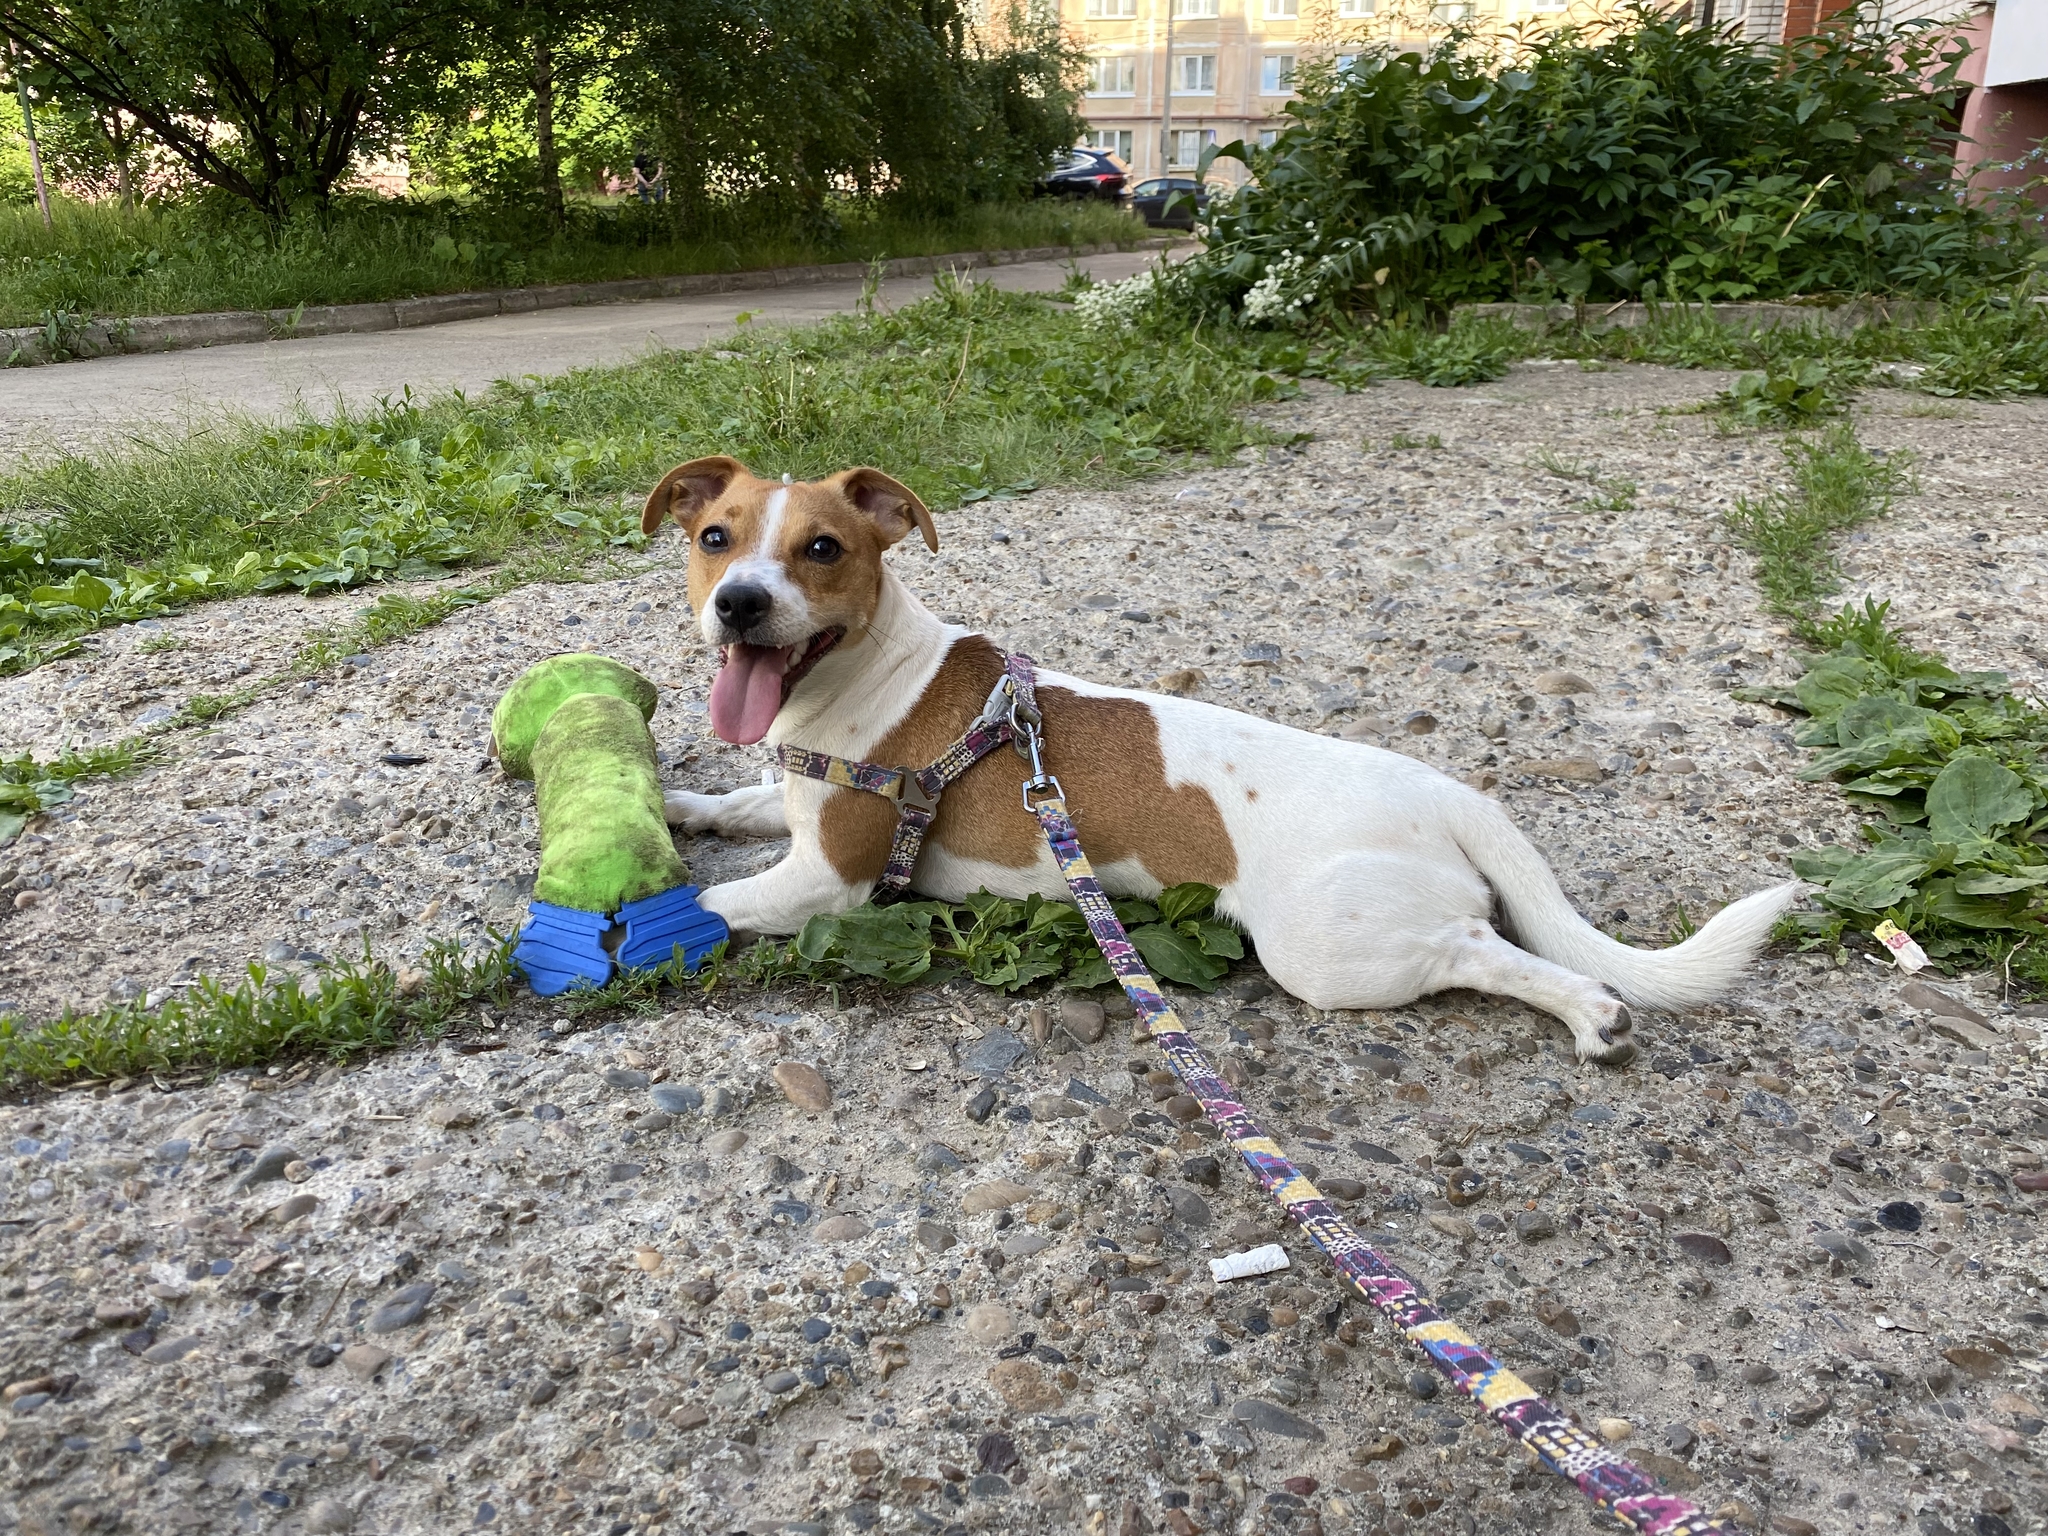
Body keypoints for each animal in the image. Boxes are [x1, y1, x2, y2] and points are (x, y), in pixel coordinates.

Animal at [647, 450, 1802, 1064]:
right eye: (714, 538)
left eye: (824, 550)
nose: (738, 604)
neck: (864, 676)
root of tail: (1450, 795)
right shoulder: (800, 805)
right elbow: (737, 803)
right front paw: (679, 805)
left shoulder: (829, 882)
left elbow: (707, 904)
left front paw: (624, 929)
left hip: (1325, 951)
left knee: (1480, 953)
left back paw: (1588, 1011)